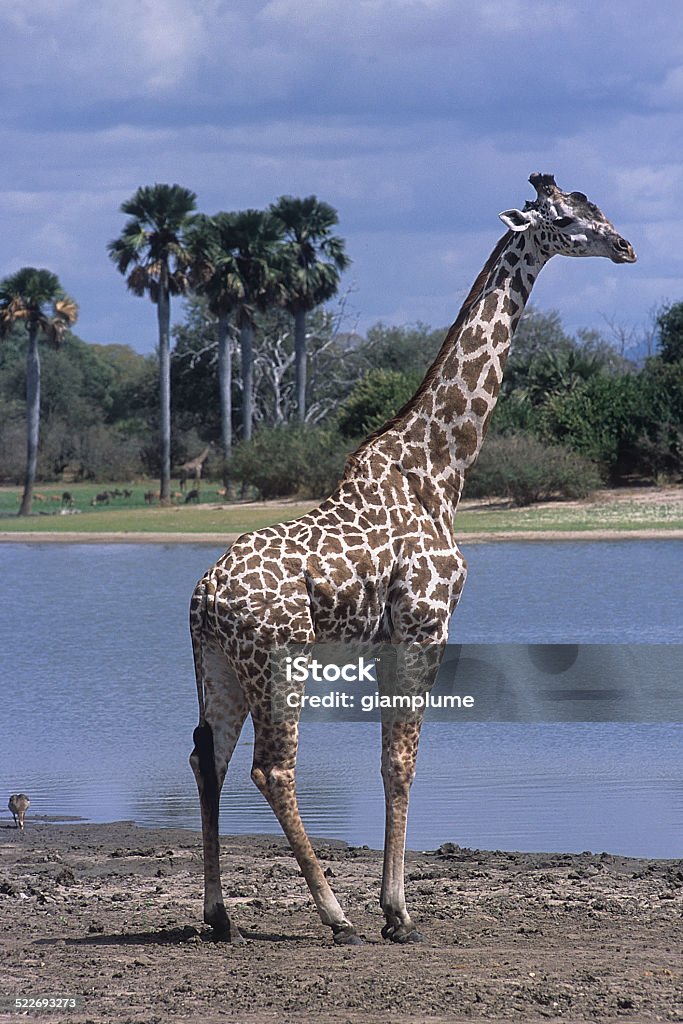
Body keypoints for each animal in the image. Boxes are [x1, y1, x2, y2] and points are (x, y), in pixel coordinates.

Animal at [188, 174, 634, 942]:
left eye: (594, 206)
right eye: (567, 217)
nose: (626, 247)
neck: (441, 471)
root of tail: (204, 597)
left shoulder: (392, 639)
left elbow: (388, 761)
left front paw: (393, 906)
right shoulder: (426, 626)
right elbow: (402, 763)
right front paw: (398, 913)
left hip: (217, 664)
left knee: (206, 759)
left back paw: (221, 917)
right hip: (279, 659)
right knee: (271, 769)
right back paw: (334, 915)